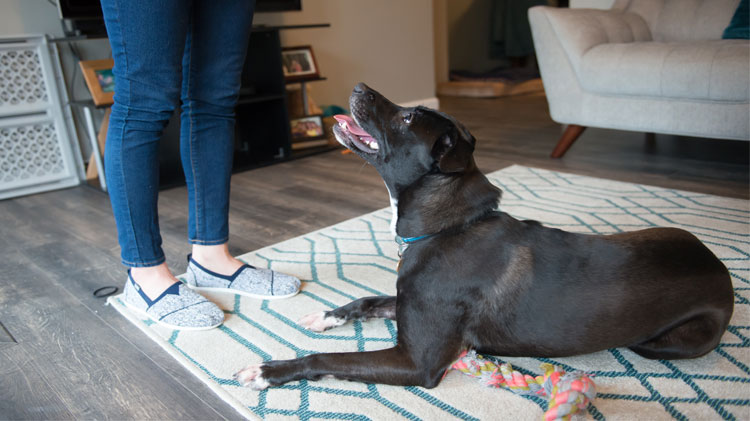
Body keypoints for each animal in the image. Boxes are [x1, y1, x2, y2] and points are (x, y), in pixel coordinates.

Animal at [235, 83, 736, 388]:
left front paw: (269, 370)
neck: (447, 227)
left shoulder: (417, 362)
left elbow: (328, 360)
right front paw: (327, 315)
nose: (357, 87)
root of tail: (719, 266)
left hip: (664, 341)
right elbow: (369, 300)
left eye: (408, 117)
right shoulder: (408, 303)